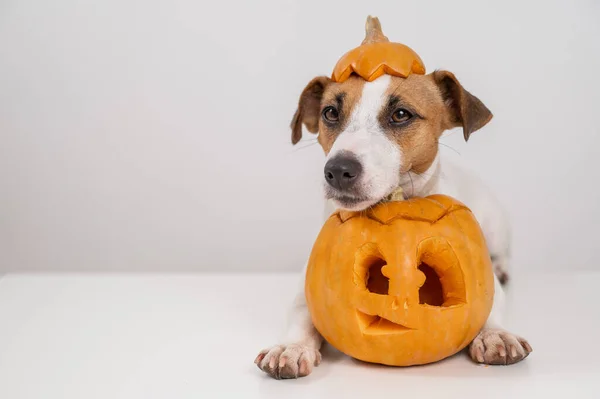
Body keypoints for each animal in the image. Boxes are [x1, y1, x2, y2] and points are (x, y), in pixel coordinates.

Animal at [255, 70, 532, 380]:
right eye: (330, 113)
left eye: (401, 114)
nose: (337, 170)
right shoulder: (310, 276)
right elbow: (301, 308)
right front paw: (292, 346)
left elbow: (490, 302)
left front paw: (496, 335)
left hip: (496, 228)